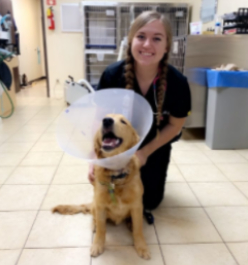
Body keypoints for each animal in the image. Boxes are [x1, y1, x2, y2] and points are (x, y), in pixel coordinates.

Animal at [52, 113, 150, 258]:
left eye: (123, 121)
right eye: (105, 118)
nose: (107, 121)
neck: (115, 178)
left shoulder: (137, 206)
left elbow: (138, 229)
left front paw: (142, 247)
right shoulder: (100, 206)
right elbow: (101, 230)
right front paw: (97, 245)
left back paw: (129, 223)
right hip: (94, 205)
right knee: (95, 219)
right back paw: (95, 225)